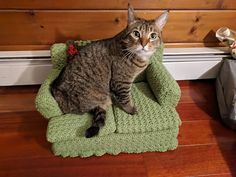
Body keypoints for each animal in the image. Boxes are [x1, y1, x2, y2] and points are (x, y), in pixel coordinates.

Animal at [50, 4, 169, 138]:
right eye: (136, 33)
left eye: (153, 36)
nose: (143, 44)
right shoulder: (121, 81)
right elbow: (125, 98)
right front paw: (130, 109)